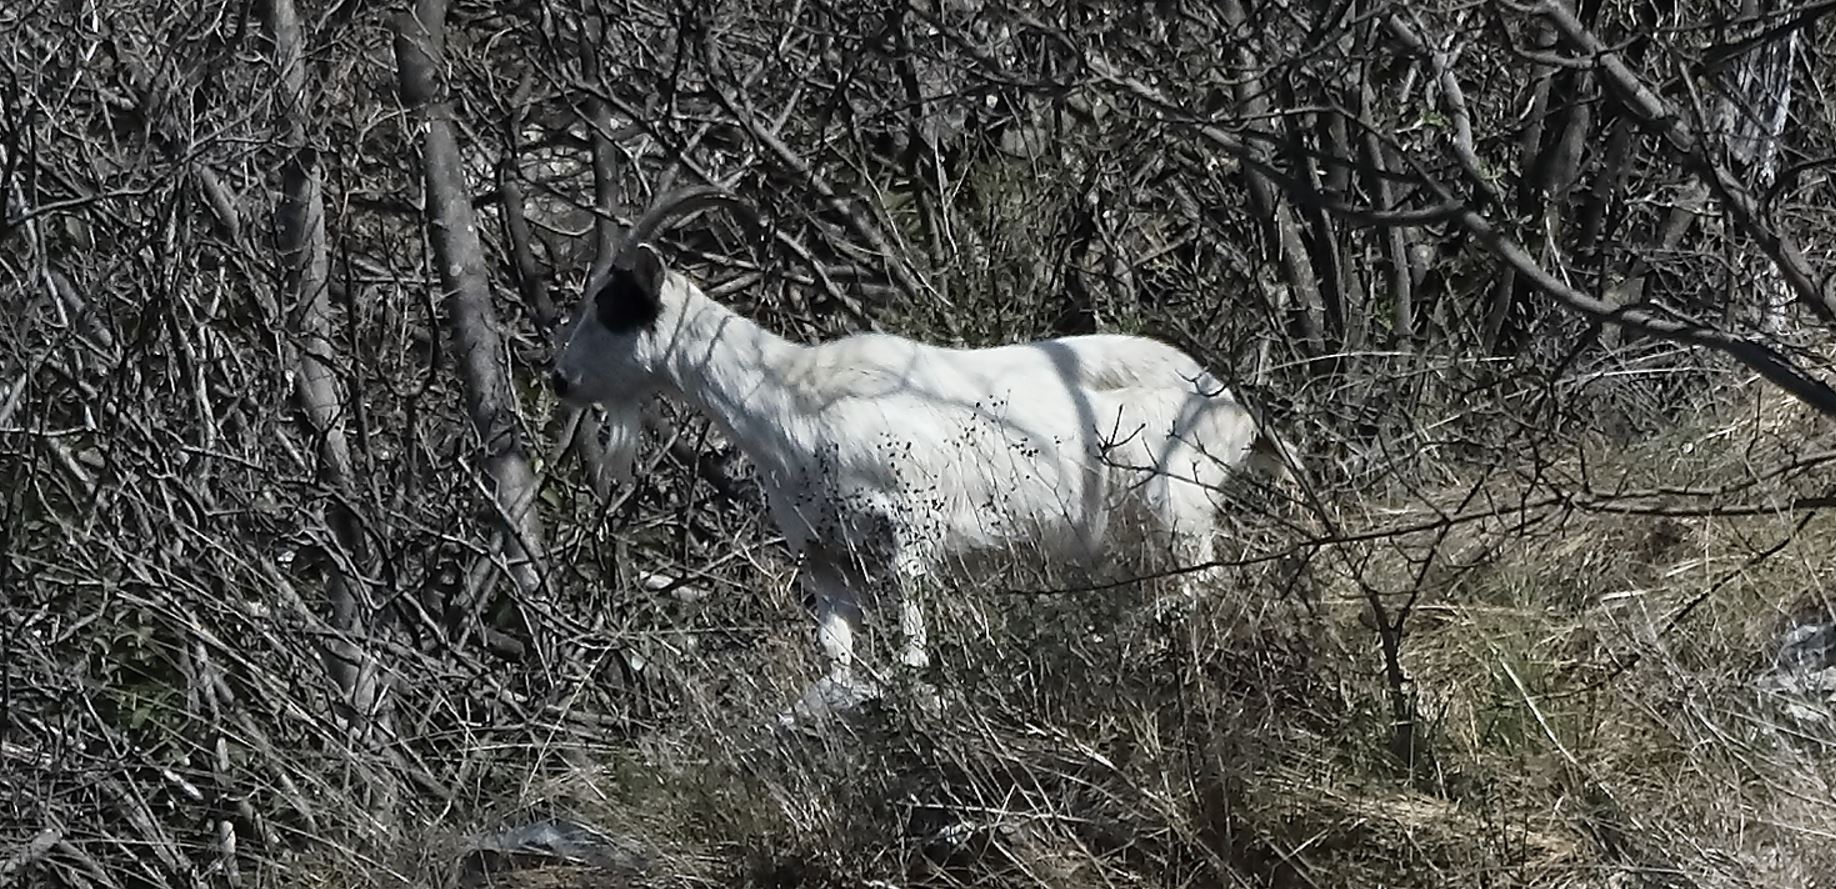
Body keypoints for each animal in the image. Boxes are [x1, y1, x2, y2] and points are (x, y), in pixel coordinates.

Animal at [550, 186, 1299, 725]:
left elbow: (910, 637)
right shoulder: (824, 552)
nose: (559, 378)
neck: (793, 400)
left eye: (612, 304)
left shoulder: (911, 523)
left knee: (1205, 580)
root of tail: (1236, 407)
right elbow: (836, 658)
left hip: (1176, 498)